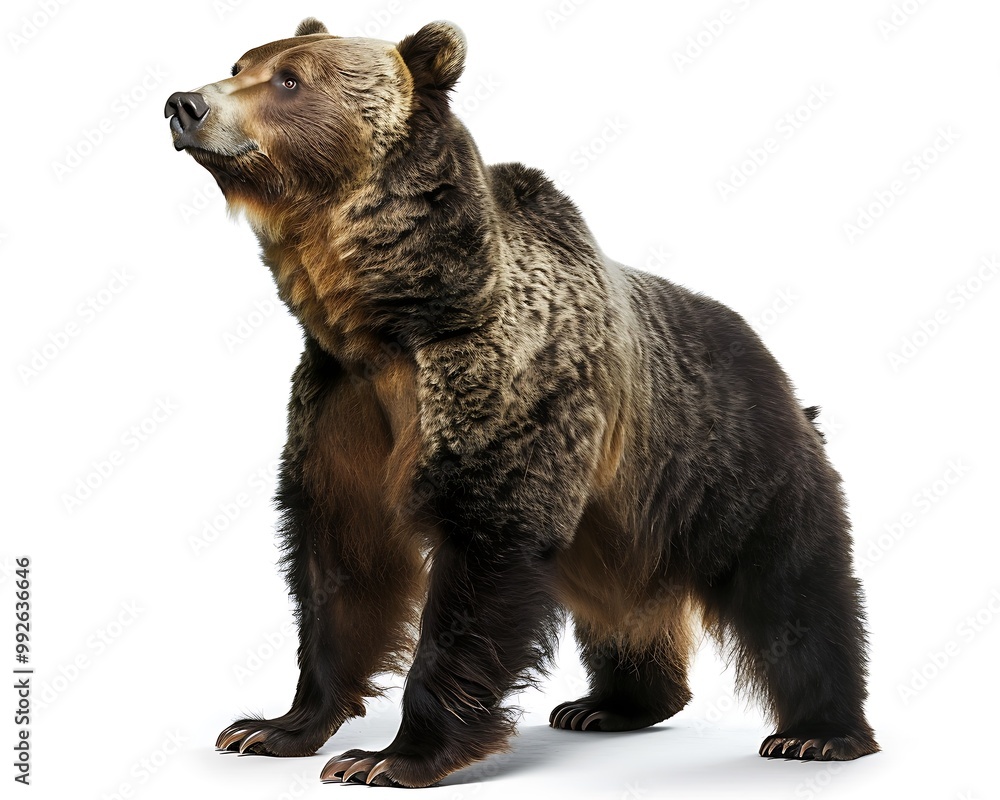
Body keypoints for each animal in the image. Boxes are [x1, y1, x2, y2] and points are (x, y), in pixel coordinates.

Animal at [165, 18, 878, 787]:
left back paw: (818, 733)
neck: (388, 318)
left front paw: (387, 757)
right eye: (241, 62)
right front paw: (270, 727)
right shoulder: (341, 401)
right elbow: (341, 560)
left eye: (290, 79)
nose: (185, 104)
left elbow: (481, 555)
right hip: (621, 518)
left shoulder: (500, 386)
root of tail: (772, 360)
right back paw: (609, 704)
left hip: (728, 461)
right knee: (624, 599)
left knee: (793, 588)